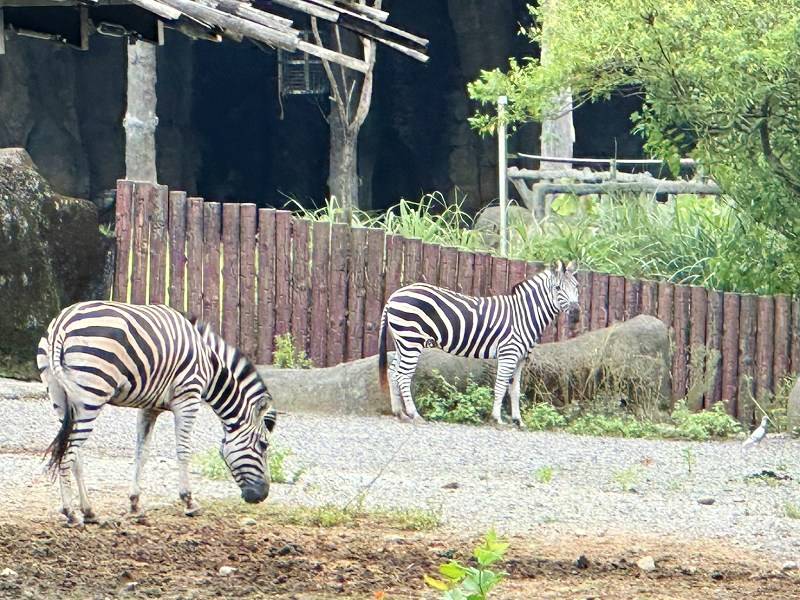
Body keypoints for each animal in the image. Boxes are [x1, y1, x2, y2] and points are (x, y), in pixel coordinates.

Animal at [37, 300, 278, 524]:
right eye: (263, 445)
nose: (262, 496)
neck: (210, 365)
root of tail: (62, 324)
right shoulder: (188, 398)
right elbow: (183, 450)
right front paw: (189, 502)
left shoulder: (149, 408)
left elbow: (141, 452)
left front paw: (135, 504)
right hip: (91, 395)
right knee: (68, 453)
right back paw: (70, 513)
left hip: (60, 399)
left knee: (71, 452)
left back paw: (89, 511)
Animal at [378, 260, 580, 424]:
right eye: (557, 288)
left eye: (577, 287)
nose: (576, 313)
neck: (524, 315)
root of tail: (393, 297)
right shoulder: (508, 353)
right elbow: (501, 386)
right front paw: (497, 418)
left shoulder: (521, 358)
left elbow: (515, 390)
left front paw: (518, 421)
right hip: (411, 340)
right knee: (403, 375)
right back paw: (414, 414)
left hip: (402, 342)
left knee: (392, 372)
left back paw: (399, 412)